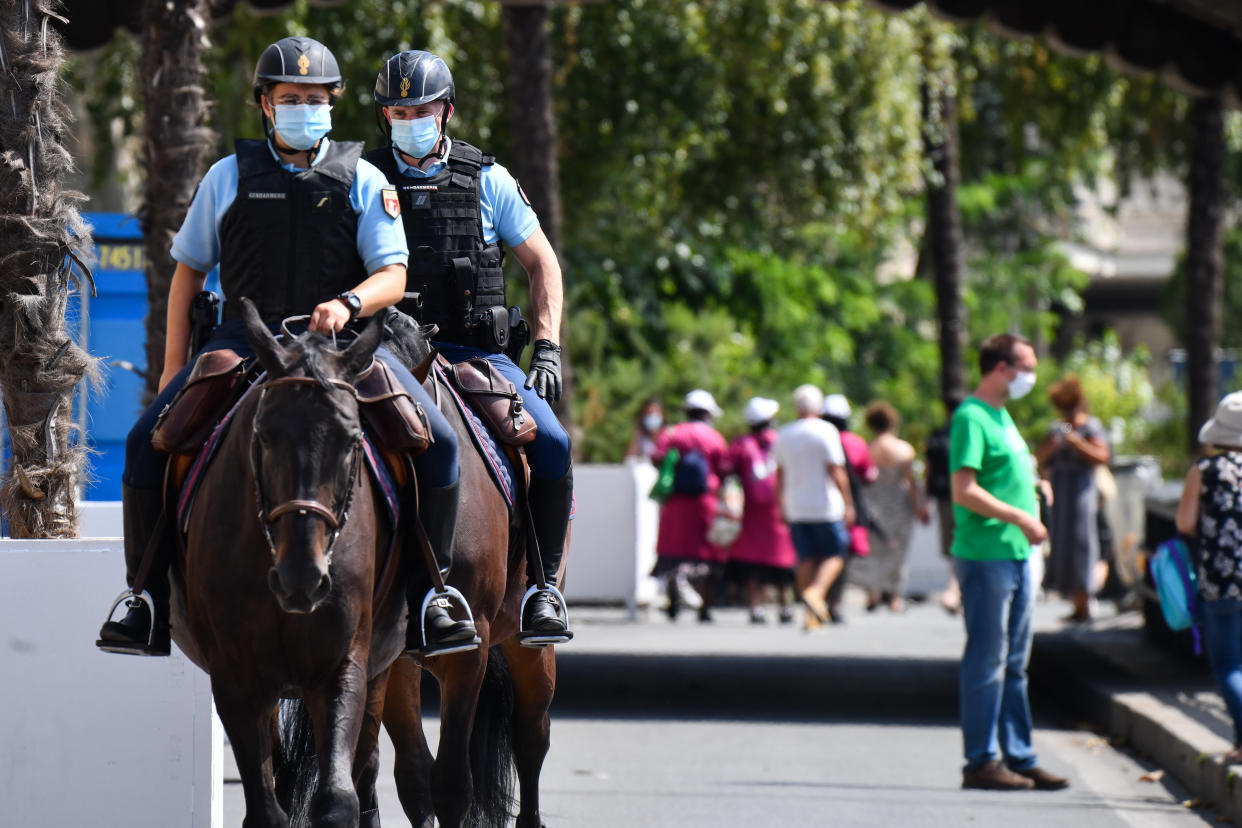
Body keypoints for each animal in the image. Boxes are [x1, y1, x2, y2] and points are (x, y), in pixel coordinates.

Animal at [167, 299, 402, 828]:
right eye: (264, 435)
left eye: (352, 439)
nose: (303, 579)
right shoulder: (237, 679)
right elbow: (266, 807)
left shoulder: (340, 669)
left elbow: (337, 800)